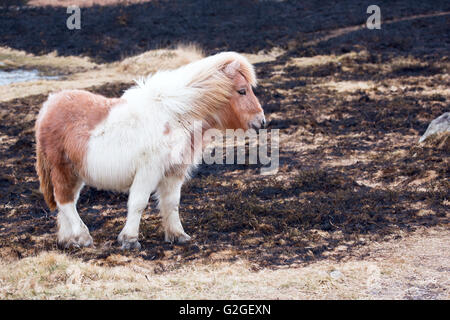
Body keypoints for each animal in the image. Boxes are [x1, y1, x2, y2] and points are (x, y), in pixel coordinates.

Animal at [37, 51, 268, 249]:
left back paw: (69, 240)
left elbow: (172, 203)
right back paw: (83, 237)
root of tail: (47, 108)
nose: (261, 121)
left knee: (67, 203)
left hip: (75, 173)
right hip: (62, 169)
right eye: (242, 90)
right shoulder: (149, 171)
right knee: (65, 201)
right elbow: (138, 203)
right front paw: (129, 240)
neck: (175, 115)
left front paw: (178, 235)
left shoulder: (174, 172)